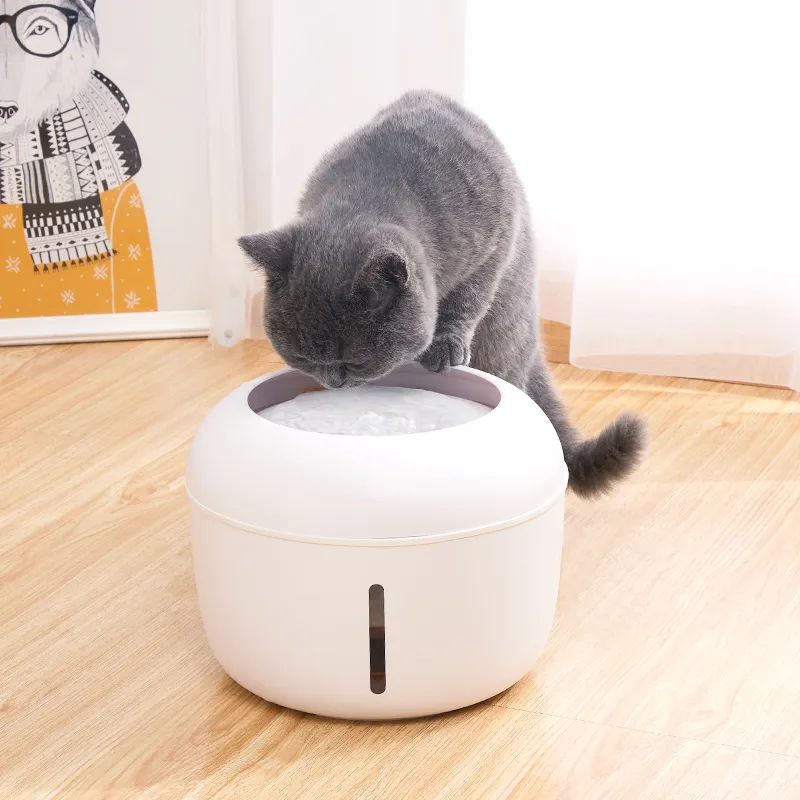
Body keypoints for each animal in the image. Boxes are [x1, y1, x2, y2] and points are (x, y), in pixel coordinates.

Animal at [241, 92, 648, 494]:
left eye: (355, 361)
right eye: (300, 357)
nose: (332, 383)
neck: (374, 188)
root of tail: (533, 347)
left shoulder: (494, 243)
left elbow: (467, 299)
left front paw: (446, 348)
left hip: (503, 346)